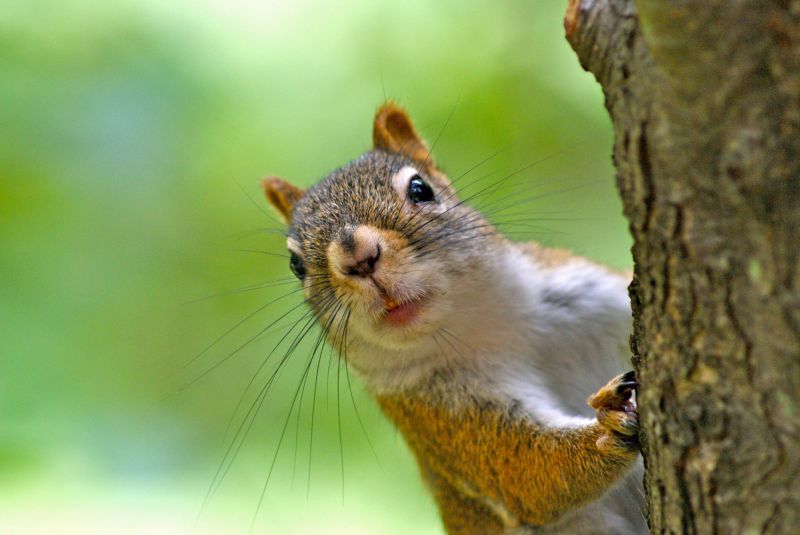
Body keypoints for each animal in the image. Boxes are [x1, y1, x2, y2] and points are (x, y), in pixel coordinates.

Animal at [260, 102, 646, 534]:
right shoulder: (441, 415)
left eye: (420, 189)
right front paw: (609, 426)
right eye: (296, 265)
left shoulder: (591, 291)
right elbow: (527, 469)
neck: (482, 326)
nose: (357, 258)